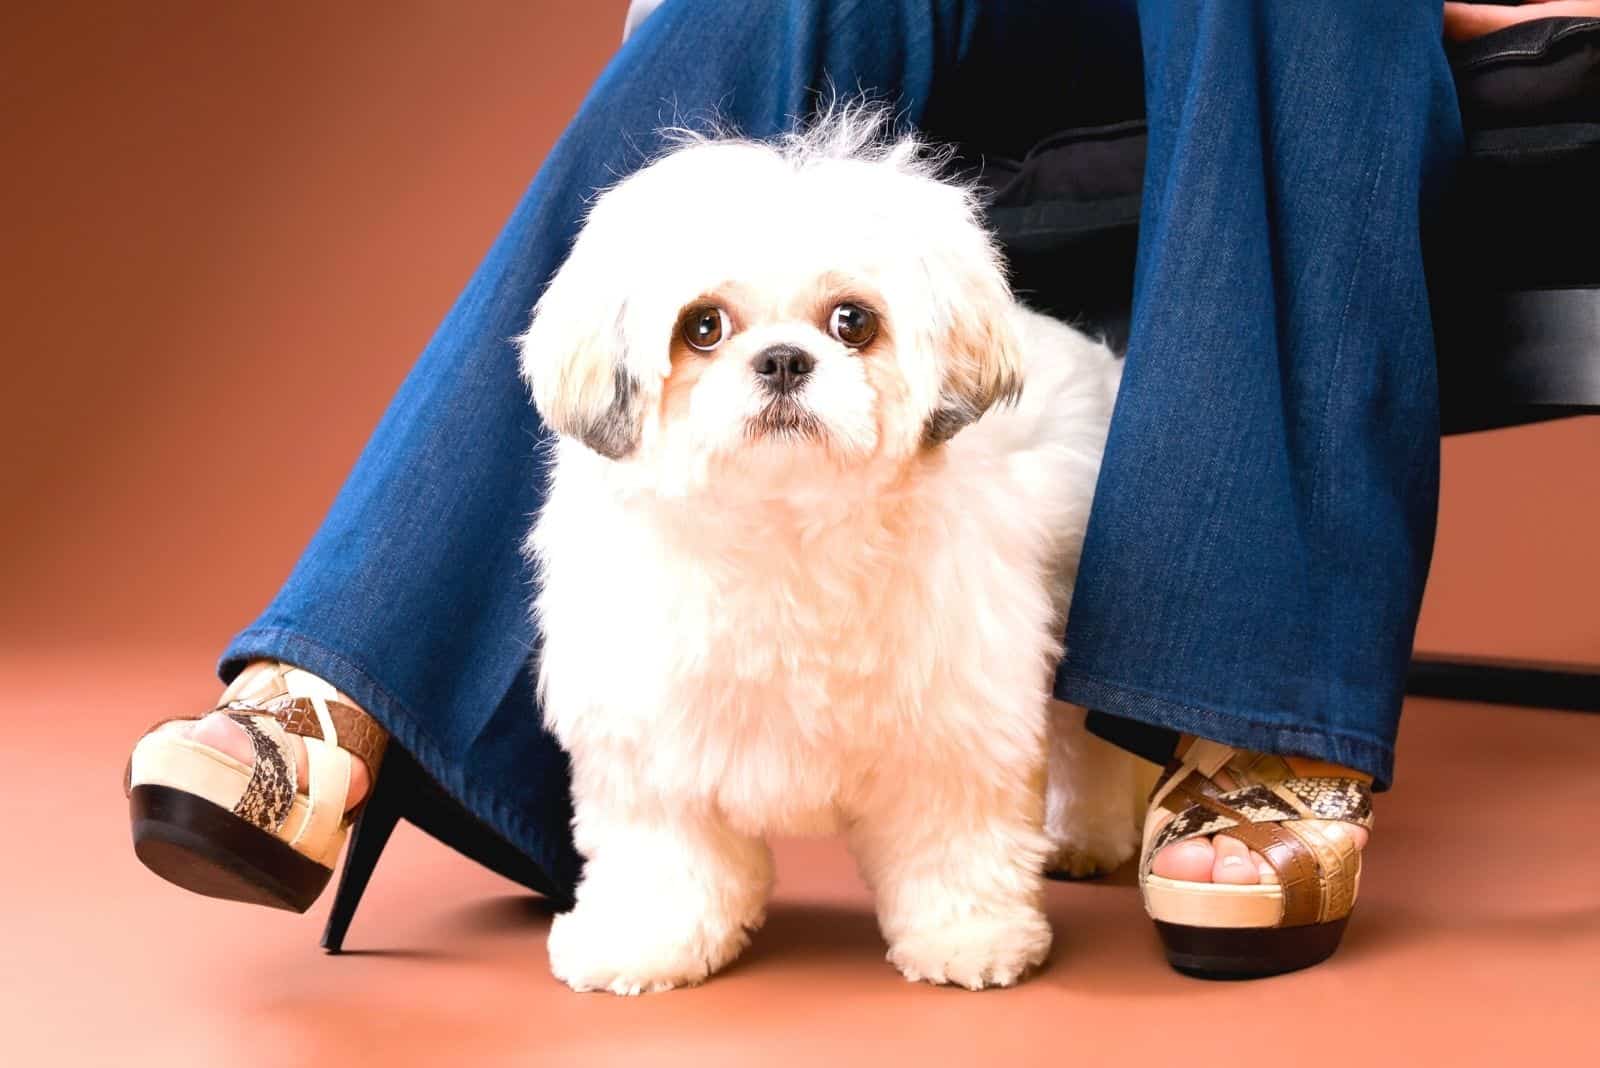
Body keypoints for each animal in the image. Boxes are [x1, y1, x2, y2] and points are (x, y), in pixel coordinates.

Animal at [518, 108, 1145, 991]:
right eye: (702, 327)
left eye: (853, 321)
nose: (784, 359)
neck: (784, 524)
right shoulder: (655, 738)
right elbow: (665, 860)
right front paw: (643, 941)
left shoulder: (952, 721)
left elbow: (954, 845)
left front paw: (968, 939)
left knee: (1090, 746)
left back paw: (1084, 836)